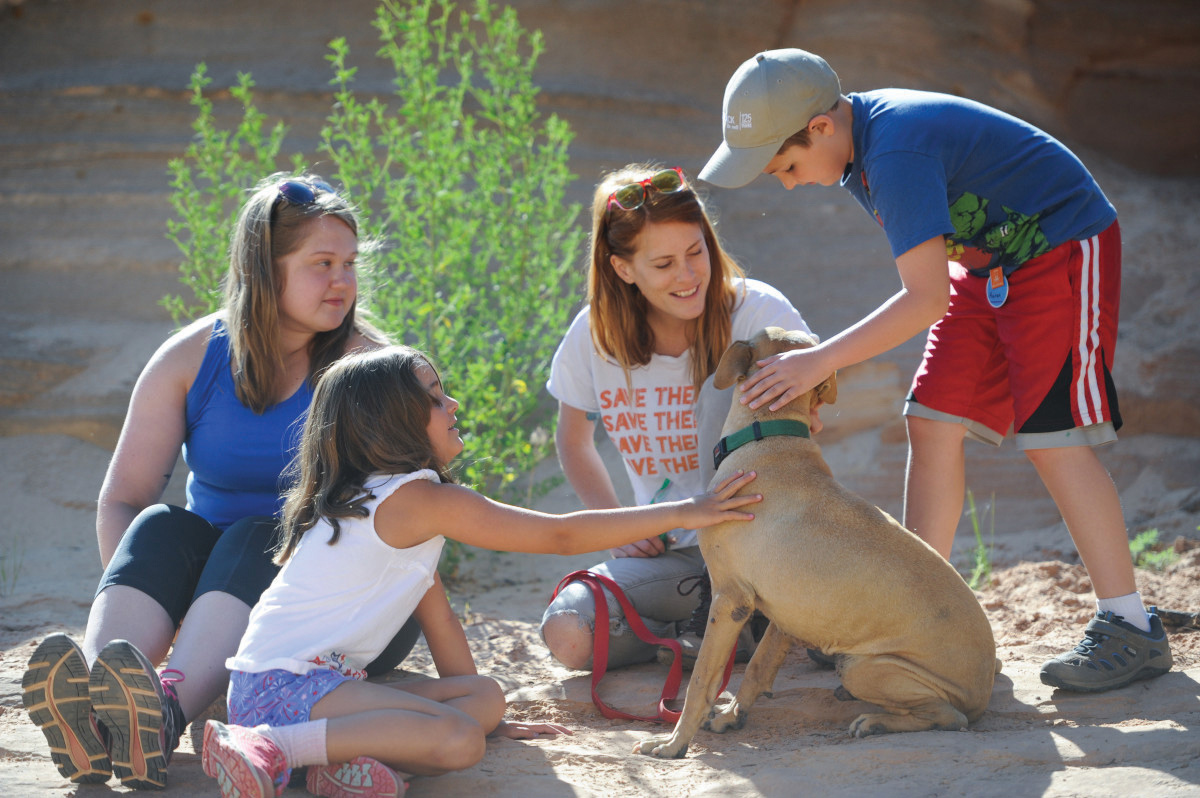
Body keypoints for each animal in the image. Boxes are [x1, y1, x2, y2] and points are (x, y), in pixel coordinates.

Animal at [638, 326, 993, 758]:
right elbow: (757, 668)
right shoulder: (782, 612)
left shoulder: (730, 599)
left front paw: (673, 743)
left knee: (947, 717)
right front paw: (731, 717)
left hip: (864, 665)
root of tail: (982, 693)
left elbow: (700, 682)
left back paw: (874, 721)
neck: (770, 436)